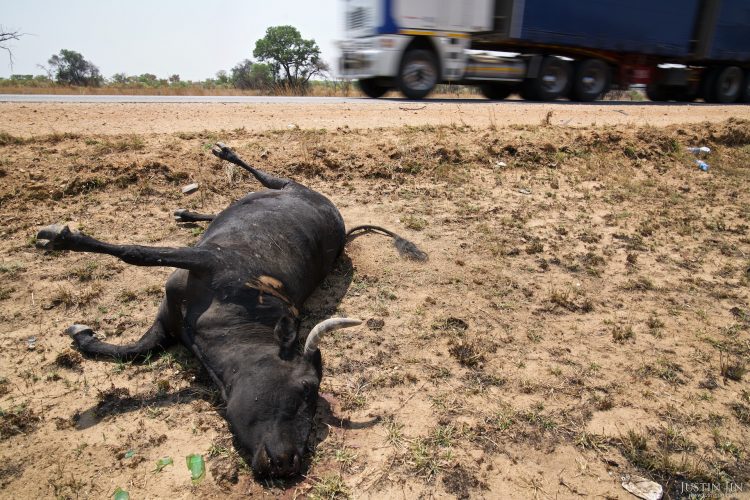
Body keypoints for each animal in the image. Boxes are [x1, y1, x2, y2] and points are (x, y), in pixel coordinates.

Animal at [36, 144, 428, 476]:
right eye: (306, 387)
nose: (290, 463)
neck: (242, 311)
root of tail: (337, 217)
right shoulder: (202, 263)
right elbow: (136, 253)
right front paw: (62, 237)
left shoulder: (169, 323)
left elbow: (131, 350)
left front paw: (83, 333)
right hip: (286, 186)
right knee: (263, 180)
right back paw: (217, 165)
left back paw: (189, 209)